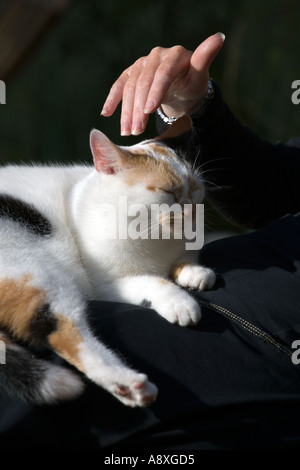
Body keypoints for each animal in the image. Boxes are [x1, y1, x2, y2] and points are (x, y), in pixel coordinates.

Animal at [0, 115, 216, 406]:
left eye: (195, 190)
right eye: (168, 193)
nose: (193, 212)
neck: (153, 238)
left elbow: (185, 260)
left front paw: (194, 272)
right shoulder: (102, 285)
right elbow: (151, 281)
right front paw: (178, 301)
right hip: (39, 274)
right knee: (65, 334)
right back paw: (128, 384)